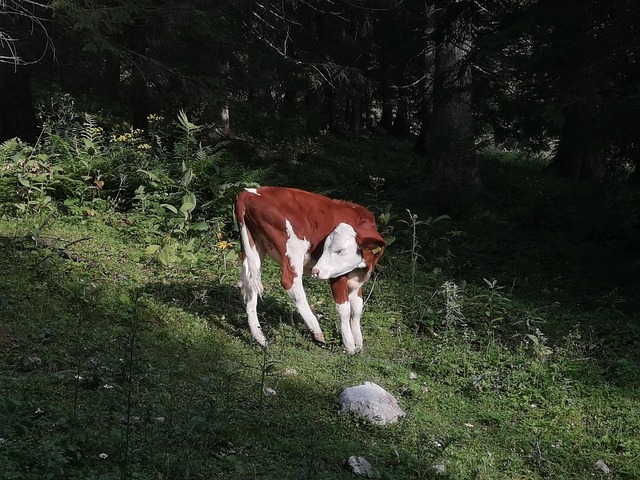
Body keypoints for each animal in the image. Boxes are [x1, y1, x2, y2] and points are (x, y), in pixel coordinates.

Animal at [235, 186, 385, 353]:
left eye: (340, 250)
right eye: (325, 247)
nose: (316, 271)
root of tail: (249, 192)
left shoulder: (358, 279)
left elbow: (357, 308)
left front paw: (359, 343)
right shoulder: (338, 275)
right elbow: (344, 309)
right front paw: (350, 345)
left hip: (254, 246)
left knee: (249, 285)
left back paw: (259, 336)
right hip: (293, 249)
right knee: (290, 283)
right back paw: (316, 330)